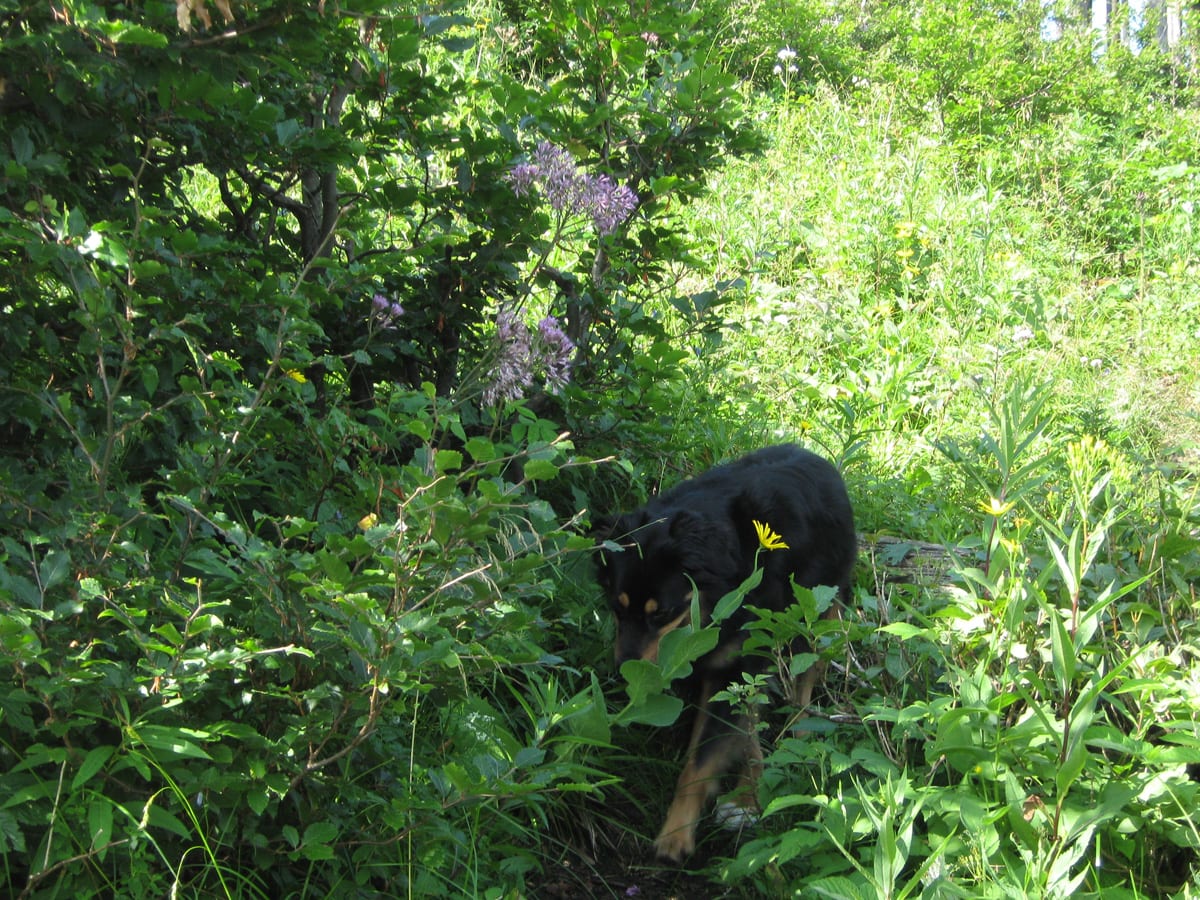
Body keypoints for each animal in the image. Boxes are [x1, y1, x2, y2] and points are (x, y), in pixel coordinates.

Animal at [595, 444, 856, 863]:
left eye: (661, 613)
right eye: (615, 607)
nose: (623, 672)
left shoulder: (733, 667)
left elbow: (700, 763)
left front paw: (675, 835)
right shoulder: (723, 672)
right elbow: (720, 743)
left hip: (814, 618)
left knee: (801, 690)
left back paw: (792, 743)